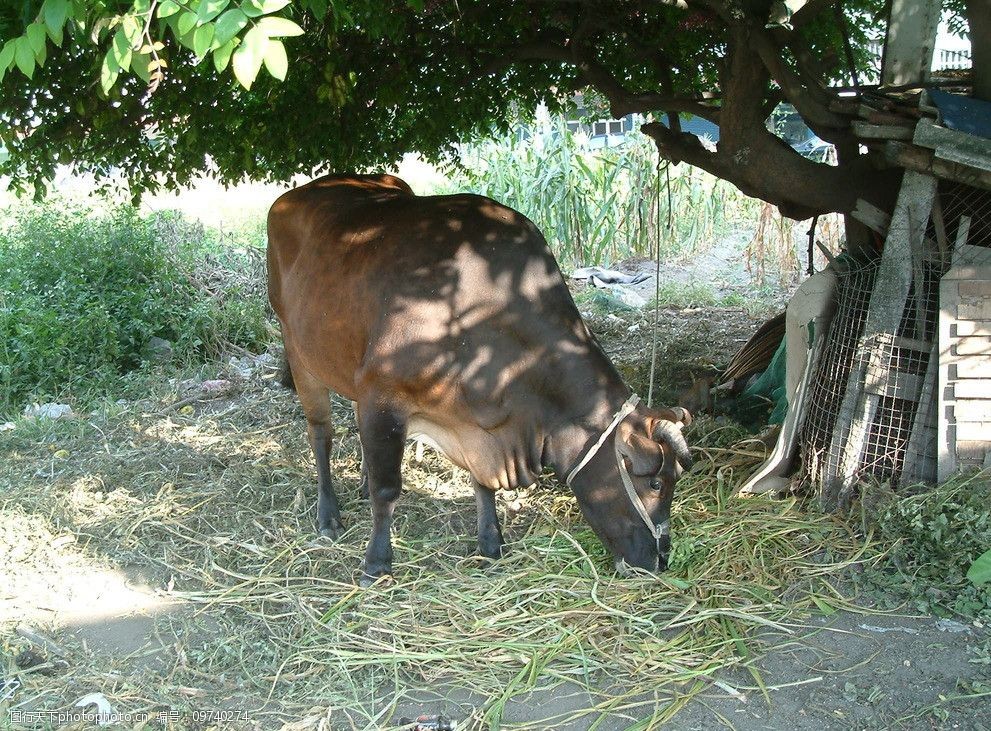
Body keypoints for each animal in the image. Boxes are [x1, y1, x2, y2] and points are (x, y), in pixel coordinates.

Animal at [268, 174, 692, 588]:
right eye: (655, 483)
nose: (660, 559)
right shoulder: (382, 394)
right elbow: (387, 489)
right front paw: (377, 563)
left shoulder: (475, 418)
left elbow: (480, 482)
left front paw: (491, 541)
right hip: (299, 352)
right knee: (321, 434)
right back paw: (328, 514)